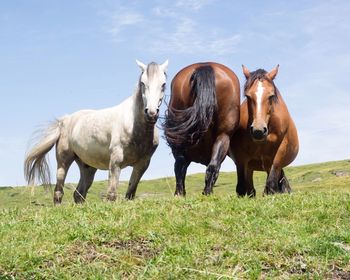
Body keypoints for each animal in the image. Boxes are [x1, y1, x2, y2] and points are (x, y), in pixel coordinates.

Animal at [24, 60, 168, 203]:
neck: (134, 125)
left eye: (163, 84)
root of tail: (65, 121)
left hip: (87, 167)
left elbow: (130, 194)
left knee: (79, 194)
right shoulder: (116, 160)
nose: (151, 113)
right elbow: (111, 194)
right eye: (143, 83)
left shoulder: (142, 164)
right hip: (64, 161)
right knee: (59, 192)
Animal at [164, 62, 241, 196]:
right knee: (211, 166)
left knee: (181, 165)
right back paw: (206, 193)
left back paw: (183, 193)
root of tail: (206, 66)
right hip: (223, 136)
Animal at [231, 65, 300, 197]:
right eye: (248, 96)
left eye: (271, 95)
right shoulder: (241, 158)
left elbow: (272, 184)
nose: (258, 131)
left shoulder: (279, 153)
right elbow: (242, 188)